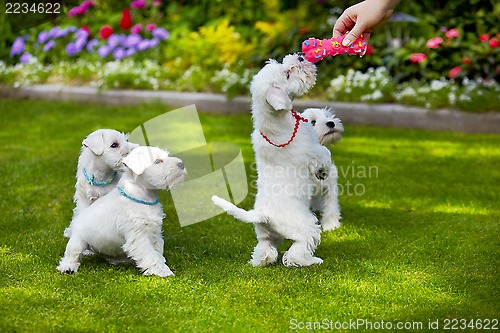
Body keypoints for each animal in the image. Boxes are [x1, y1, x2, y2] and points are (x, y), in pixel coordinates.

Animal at [56, 147, 186, 276]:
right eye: (157, 161)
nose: (182, 164)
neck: (141, 197)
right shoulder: (138, 235)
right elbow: (150, 254)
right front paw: (163, 271)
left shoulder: (155, 232)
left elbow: (157, 251)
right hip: (78, 241)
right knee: (72, 255)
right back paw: (68, 267)